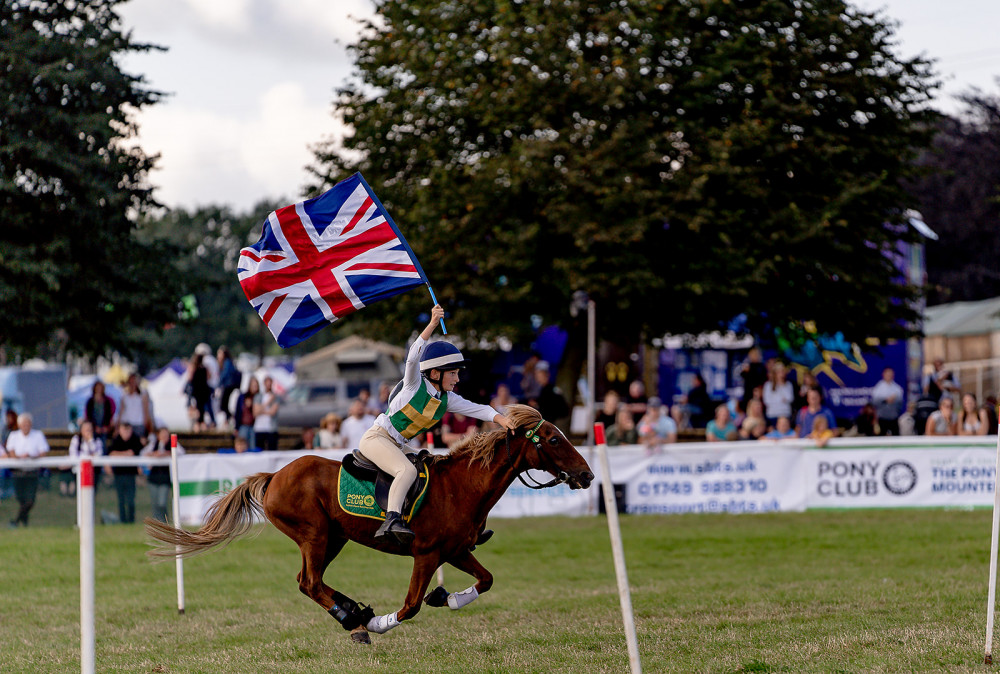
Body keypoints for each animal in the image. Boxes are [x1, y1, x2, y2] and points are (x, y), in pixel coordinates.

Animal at [145, 402, 588, 644]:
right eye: (553, 439)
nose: (587, 475)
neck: (462, 487)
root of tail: (273, 476)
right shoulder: (427, 554)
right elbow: (410, 606)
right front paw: (379, 622)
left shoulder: (456, 550)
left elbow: (486, 580)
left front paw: (446, 598)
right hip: (315, 535)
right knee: (310, 582)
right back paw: (353, 617)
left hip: (334, 538)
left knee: (309, 581)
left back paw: (350, 611)